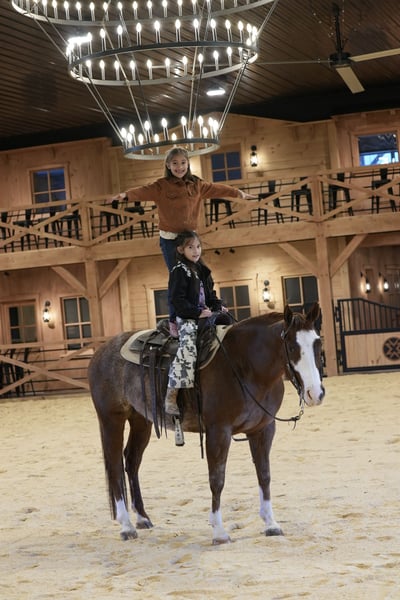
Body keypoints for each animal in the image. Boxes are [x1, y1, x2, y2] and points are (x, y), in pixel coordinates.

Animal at [88, 303, 325, 544]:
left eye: (318, 343)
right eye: (292, 346)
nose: (315, 393)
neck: (244, 364)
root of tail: (101, 352)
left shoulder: (263, 429)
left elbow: (264, 475)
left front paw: (271, 524)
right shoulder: (218, 431)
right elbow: (217, 479)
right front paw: (219, 532)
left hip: (141, 420)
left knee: (132, 462)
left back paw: (142, 518)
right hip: (112, 419)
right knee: (115, 466)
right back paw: (126, 526)